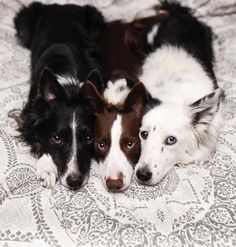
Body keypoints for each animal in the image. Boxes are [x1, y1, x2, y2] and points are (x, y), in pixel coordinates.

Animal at [13, 1, 107, 190]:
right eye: (57, 138)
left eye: (89, 138)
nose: (75, 182)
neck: (71, 87)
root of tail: (60, 5)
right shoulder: (29, 116)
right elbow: (40, 140)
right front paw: (47, 170)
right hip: (24, 25)